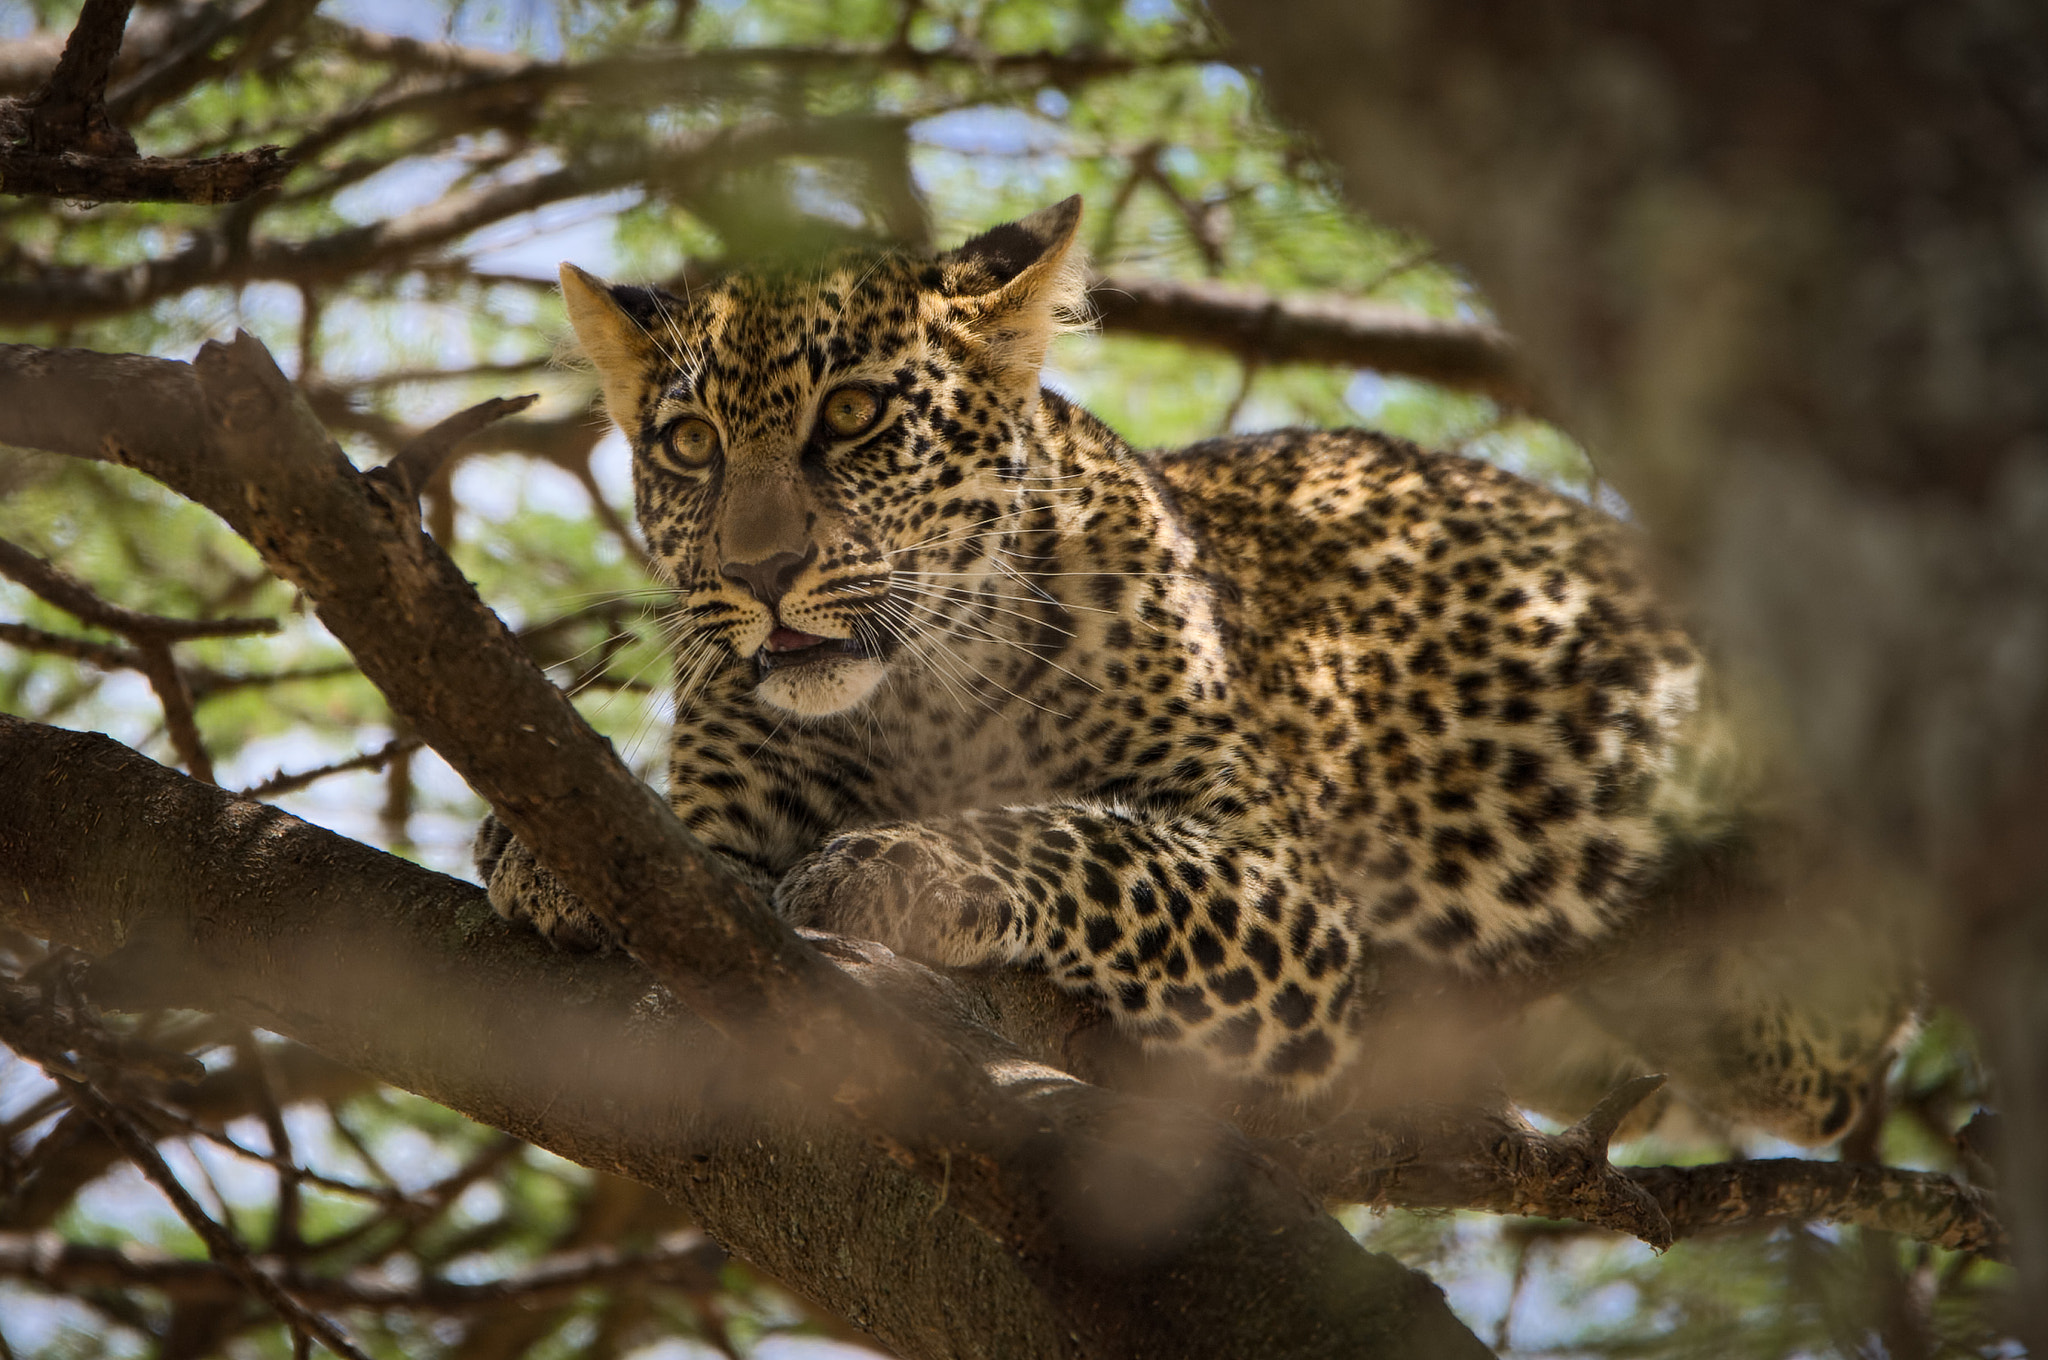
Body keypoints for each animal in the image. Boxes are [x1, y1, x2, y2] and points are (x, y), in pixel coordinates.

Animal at [477, 197, 1910, 1144]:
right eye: (688, 443)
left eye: (854, 415)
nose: (761, 570)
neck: (921, 700)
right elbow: (672, 843)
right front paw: (543, 847)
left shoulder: (1281, 886)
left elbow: (1096, 844)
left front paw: (894, 867)